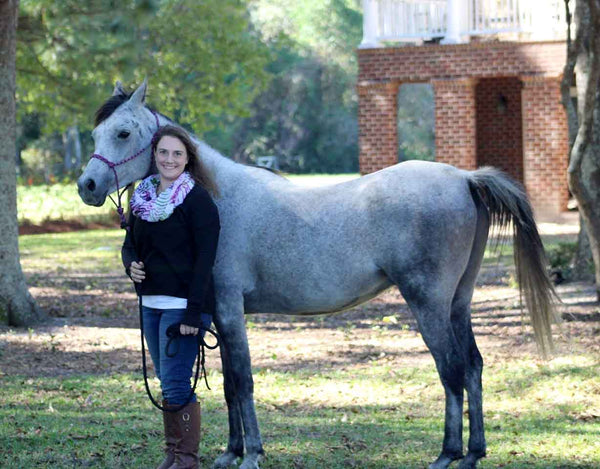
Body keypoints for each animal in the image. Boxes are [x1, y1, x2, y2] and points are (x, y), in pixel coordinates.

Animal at [77, 80, 556, 468]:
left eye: (123, 133)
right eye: (97, 133)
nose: (87, 186)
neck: (217, 198)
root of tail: (464, 178)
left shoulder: (230, 310)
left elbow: (243, 381)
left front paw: (252, 454)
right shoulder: (214, 314)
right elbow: (230, 385)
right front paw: (231, 451)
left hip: (430, 304)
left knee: (452, 369)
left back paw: (447, 454)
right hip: (459, 302)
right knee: (473, 366)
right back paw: (474, 453)